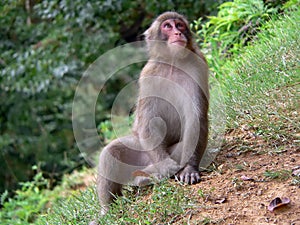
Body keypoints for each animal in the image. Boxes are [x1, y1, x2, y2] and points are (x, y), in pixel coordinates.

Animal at [96, 11, 209, 214]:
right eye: (167, 26)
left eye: (179, 25)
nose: (177, 33)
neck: (173, 62)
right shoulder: (148, 75)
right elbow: (148, 122)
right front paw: (166, 165)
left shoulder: (198, 66)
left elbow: (196, 120)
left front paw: (189, 169)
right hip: (141, 150)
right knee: (111, 151)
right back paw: (108, 210)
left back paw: (147, 176)